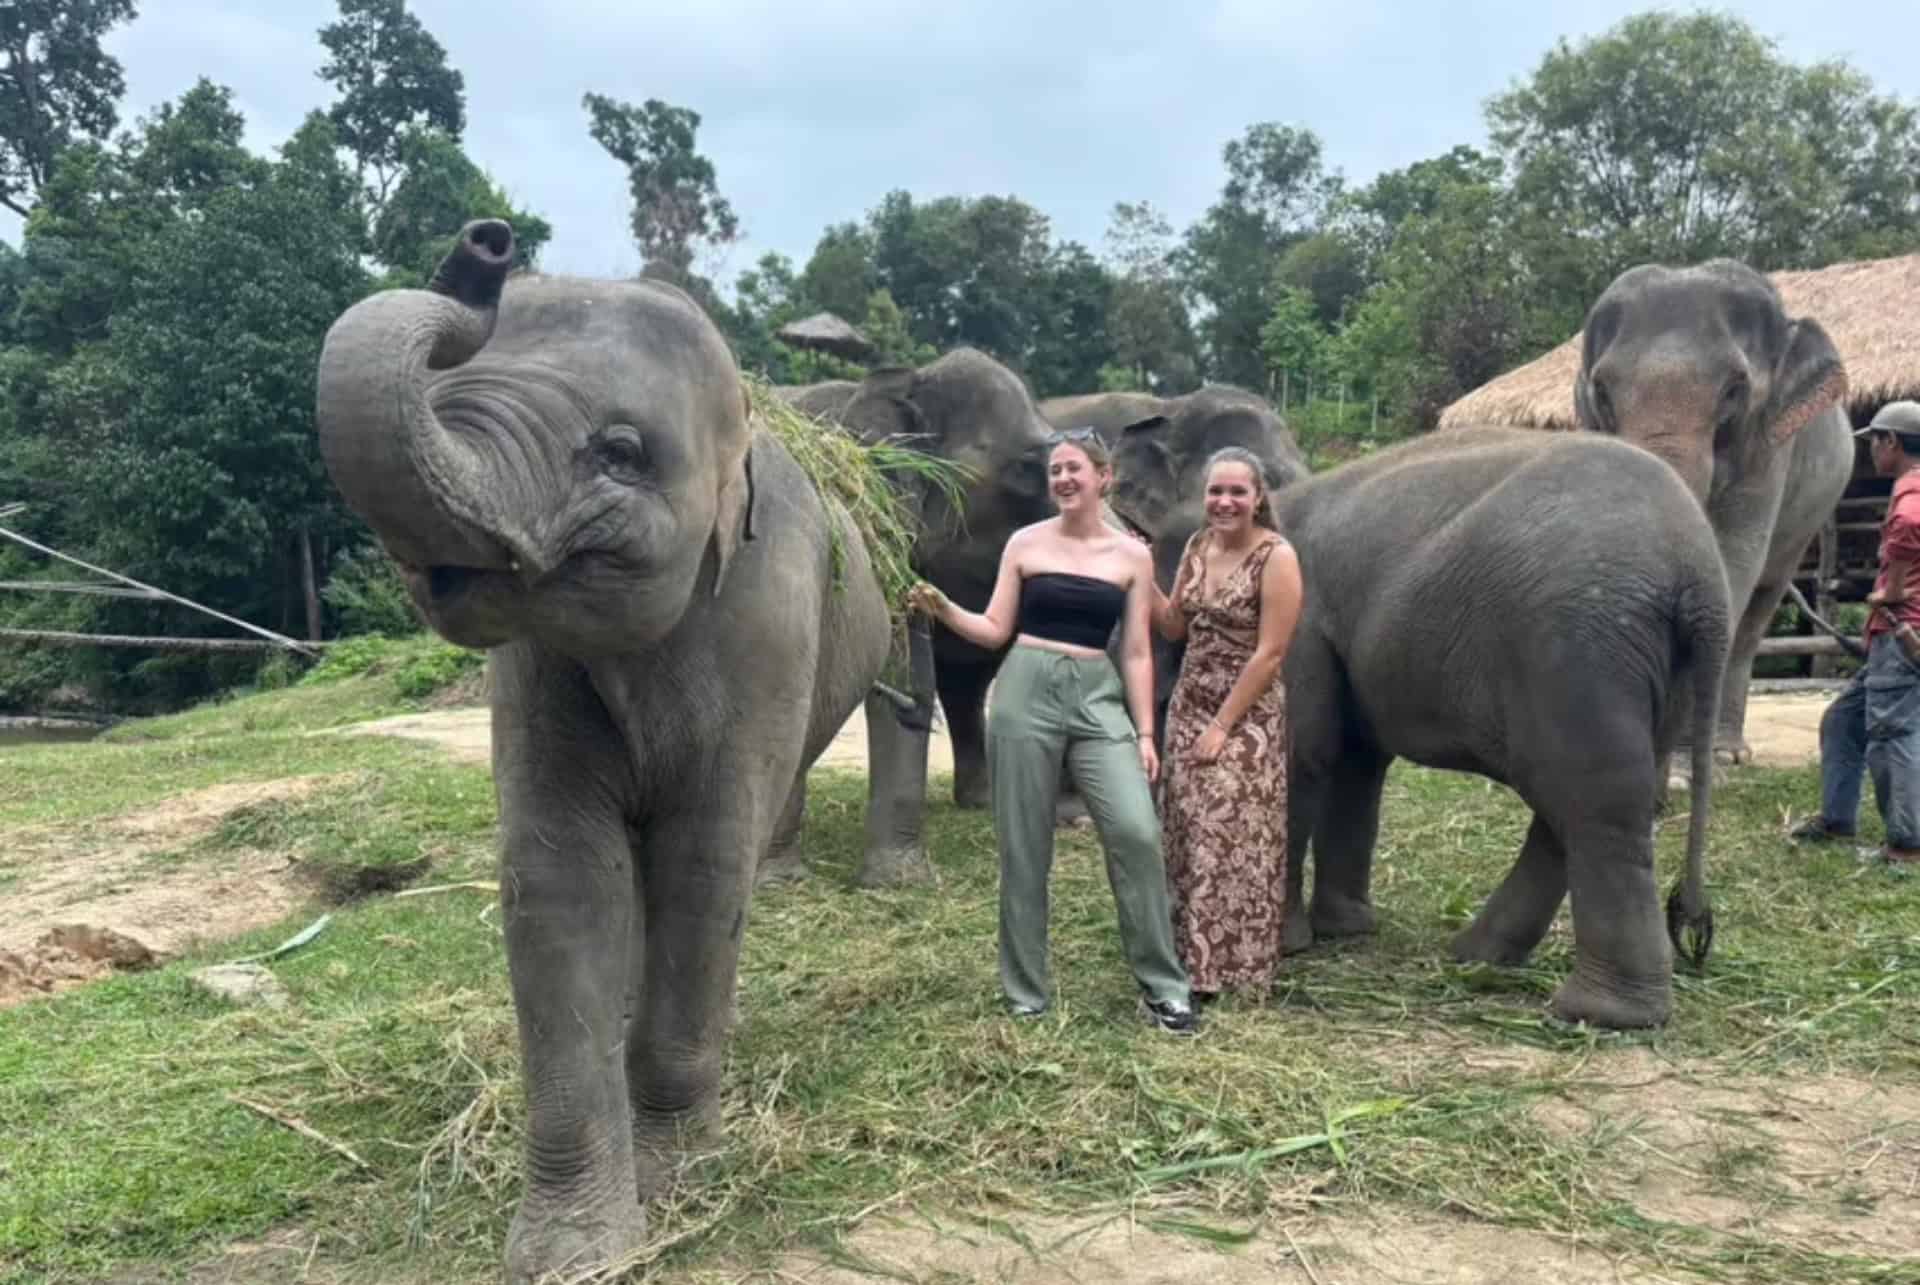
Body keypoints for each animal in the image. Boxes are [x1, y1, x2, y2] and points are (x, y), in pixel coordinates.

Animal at [314, 220, 919, 1282]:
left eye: (621, 452)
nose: (485, 244)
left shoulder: (767, 623)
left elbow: (704, 866)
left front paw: (678, 1178)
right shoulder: (535, 669)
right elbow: (561, 880)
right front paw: (572, 1248)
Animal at [1166, 424, 1730, 1029]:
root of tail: (1700, 577)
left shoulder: (1297, 614)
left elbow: (1305, 752)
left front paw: (1289, 947)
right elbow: (1358, 763)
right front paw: (1346, 932)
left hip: (1580, 648)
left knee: (1596, 806)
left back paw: (1599, 1012)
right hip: (1654, 674)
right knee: (1577, 808)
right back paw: (1479, 957)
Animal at [1570, 260, 1854, 777]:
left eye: (1734, 390)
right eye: (1601, 391)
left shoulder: (1768, 448)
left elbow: (1731, 564)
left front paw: (1683, 774)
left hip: (1808, 522)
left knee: (1757, 611)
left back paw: (1729, 752)